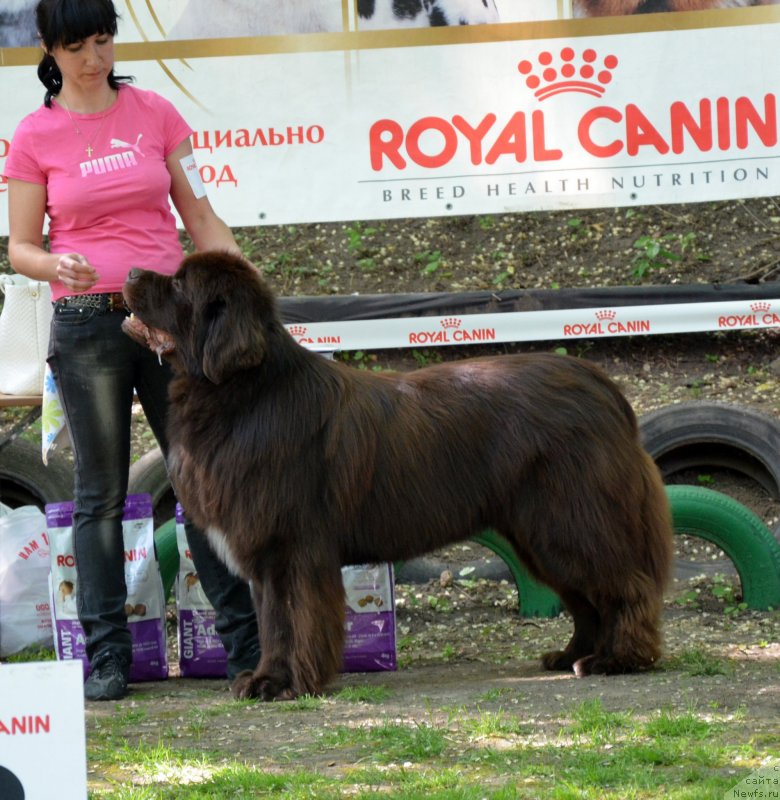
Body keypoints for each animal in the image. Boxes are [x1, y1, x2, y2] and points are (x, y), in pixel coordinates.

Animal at [122, 252, 672, 700]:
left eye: (178, 283)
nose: (127, 272)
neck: (245, 392)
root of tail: (602, 387)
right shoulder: (267, 554)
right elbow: (273, 624)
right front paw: (265, 680)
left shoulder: (291, 547)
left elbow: (293, 620)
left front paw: (286, 684)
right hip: (539, 533)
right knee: (585, 599)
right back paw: (571, 655)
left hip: (570, 520)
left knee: (624, 585)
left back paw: (617, 659)